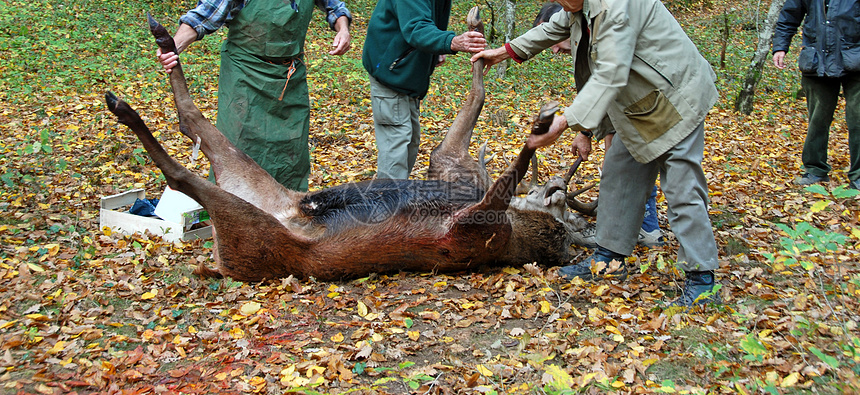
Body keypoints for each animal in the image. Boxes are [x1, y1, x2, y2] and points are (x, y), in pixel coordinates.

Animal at [102, 8, 592, 282]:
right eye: (560, 203)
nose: (556, 189)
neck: (519, 230)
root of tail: (217, 262)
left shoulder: (471, 228)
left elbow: (511, 152)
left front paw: (543, 122)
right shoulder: (448, 165)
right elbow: (477, 94)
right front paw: (477, 39)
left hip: (252, 230)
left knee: (182, 169)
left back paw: (126, 103)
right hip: (256, 193)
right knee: (191, 123)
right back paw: (161, 45)